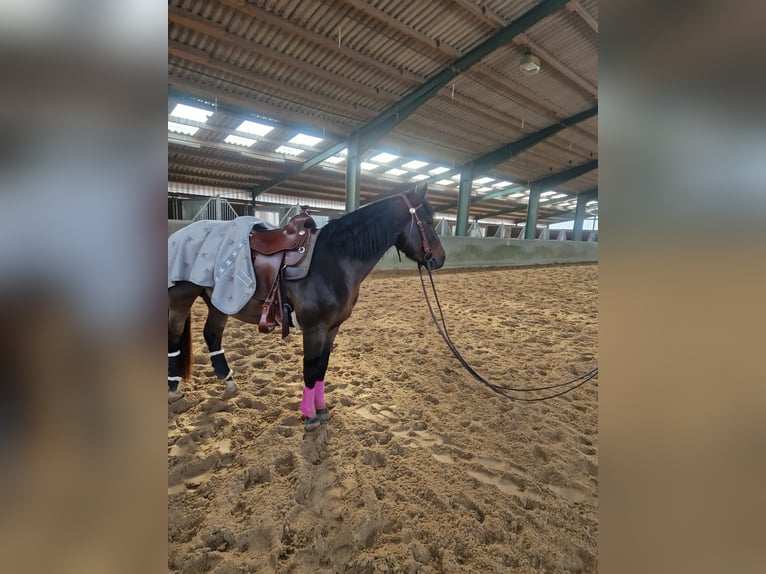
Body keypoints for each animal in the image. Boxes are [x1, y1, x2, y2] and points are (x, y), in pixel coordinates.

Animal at [168, 183, 446, 431]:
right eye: (428, 222)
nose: (440, 259)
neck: (335, 259)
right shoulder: (315, 328)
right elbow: (310, 369)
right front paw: (309, 415)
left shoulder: (332, 328)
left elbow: (322, 367)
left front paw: (321, 409)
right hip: (181, 298)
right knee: (174, 339)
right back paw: (173, 389)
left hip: (221, 300)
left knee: (212, 334)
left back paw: (228, 382)